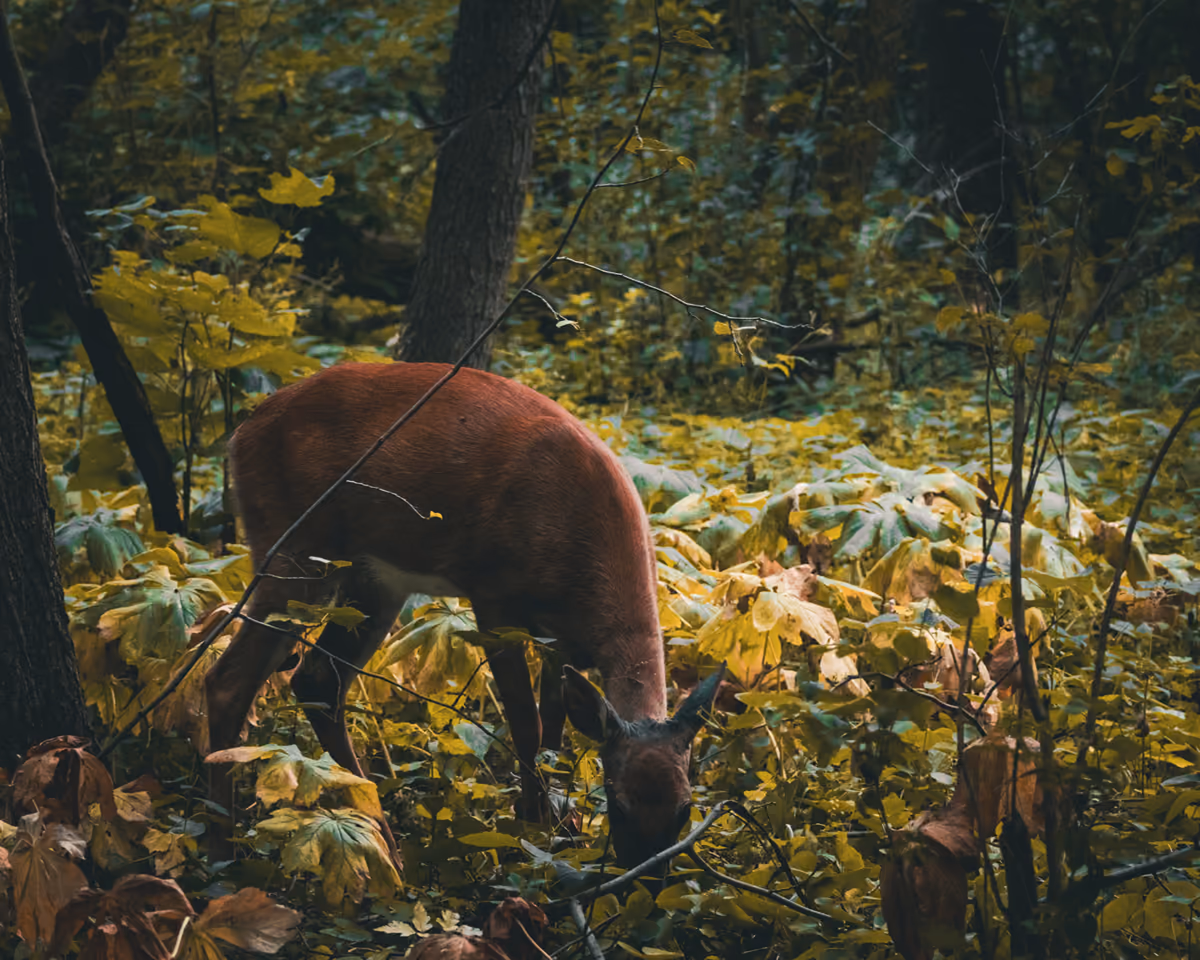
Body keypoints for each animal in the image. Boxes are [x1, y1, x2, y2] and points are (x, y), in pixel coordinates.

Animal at [203, 361, 725, 869]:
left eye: (686, 810)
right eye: (617, 804)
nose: (646, 883)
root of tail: (242, 430)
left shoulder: (558, 639)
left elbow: (554, 729)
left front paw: (564, 829)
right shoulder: (494, 596)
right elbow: (527, 724)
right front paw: (531, 832)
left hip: (373, 580)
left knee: (317, 682)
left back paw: (388, 851)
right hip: (292, 548)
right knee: (228, 680)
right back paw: (222, 855)